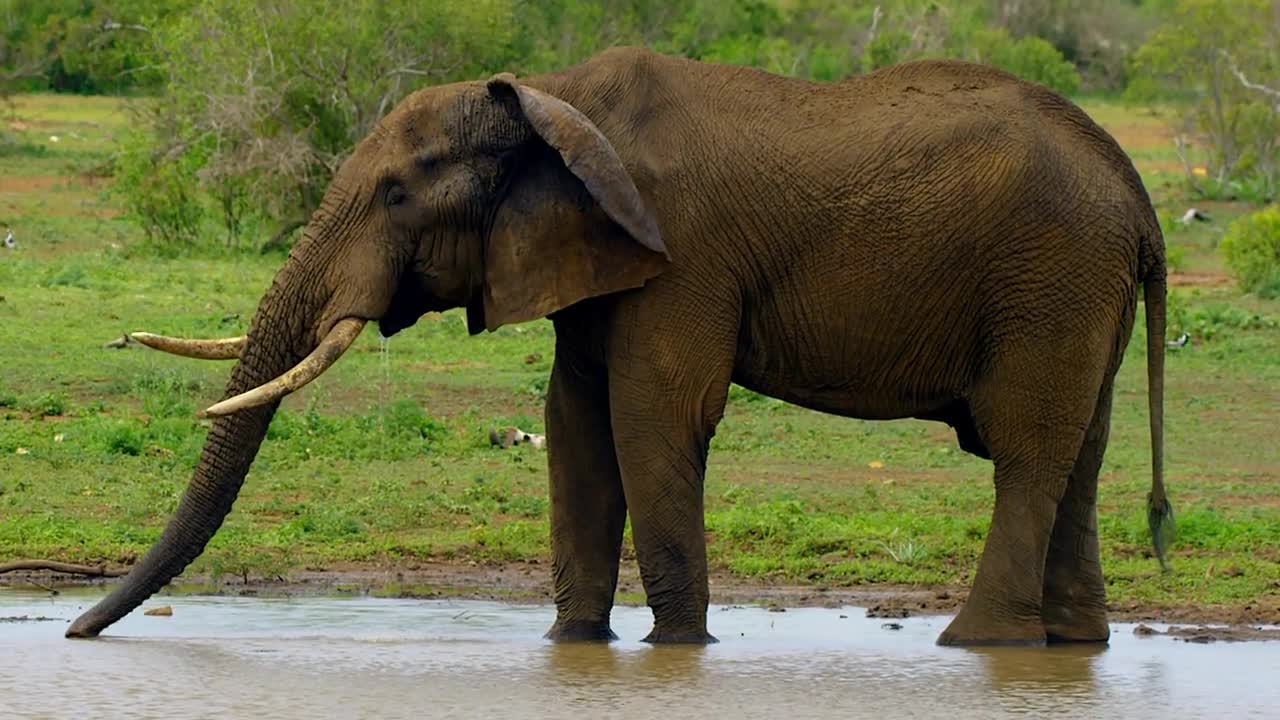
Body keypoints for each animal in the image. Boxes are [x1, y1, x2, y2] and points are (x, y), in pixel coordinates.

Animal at [64, 49, 1172, 645]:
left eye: (395, 195)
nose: (75, 630)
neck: (548, 99)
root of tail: (1134, 189)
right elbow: (574, 429)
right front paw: (574, 645)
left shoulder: (677, 253)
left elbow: (650, 421)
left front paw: (677, 648)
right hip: (1078, 289)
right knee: (1079, 455)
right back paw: (1069, 648)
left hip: (1049, 277)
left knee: (1026, 452)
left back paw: (973, 643)